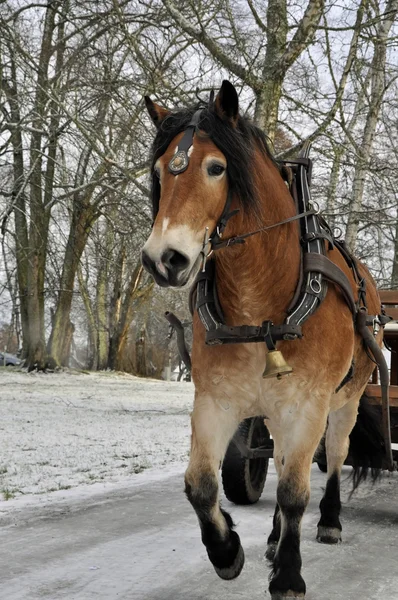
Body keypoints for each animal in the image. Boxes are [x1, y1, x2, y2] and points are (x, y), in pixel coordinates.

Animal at [141, 81, 386, 600]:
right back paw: (273, 539)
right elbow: (200, 484)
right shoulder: (215, 400)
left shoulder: (308, 404)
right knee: (280, 457)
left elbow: (295, 492)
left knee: (335, 455)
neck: (262, 305)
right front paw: (227, 551)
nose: (163, 258)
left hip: (346, 400)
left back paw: (328, 521)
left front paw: (290, 575)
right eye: (158, 171)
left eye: (216, 168)